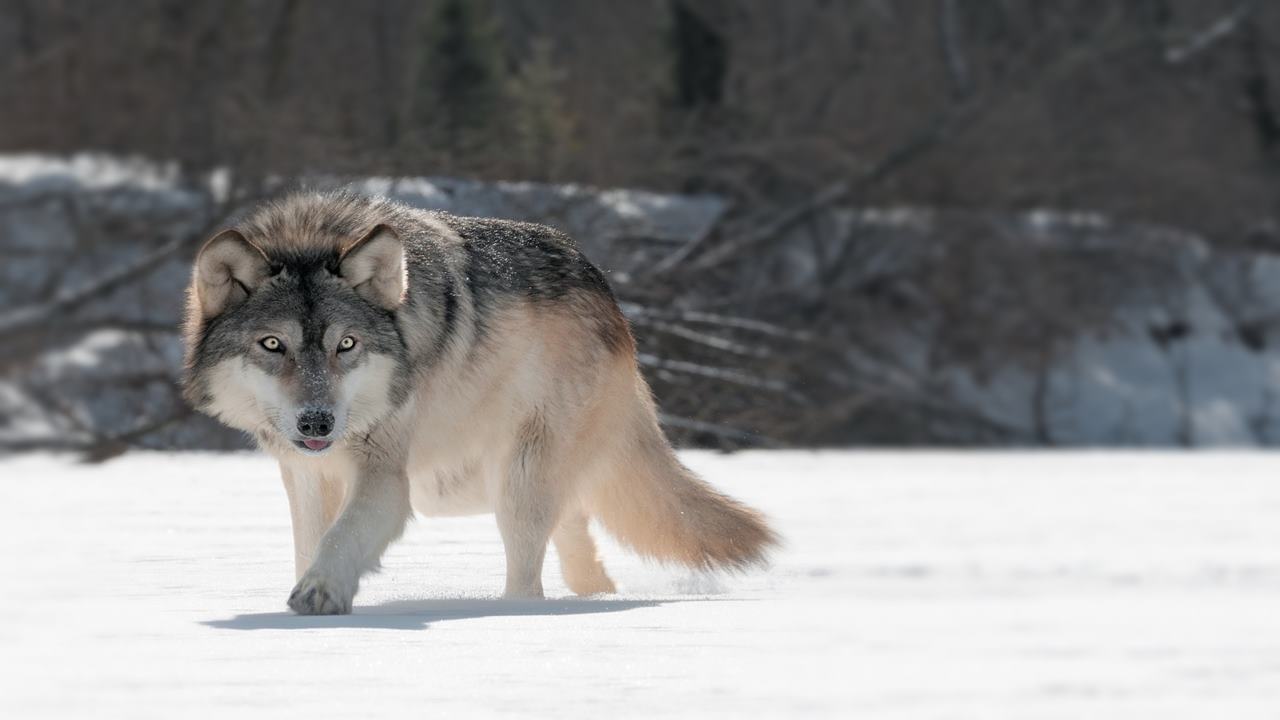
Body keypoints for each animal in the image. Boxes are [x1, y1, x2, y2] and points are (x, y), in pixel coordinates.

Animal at [180, 190, 773, 609]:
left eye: (345, 344)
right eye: (272, 345)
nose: (318, 423)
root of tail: (612, 302)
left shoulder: (385, 476)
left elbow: (341, 539)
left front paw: (320, 592)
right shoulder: (306, 475)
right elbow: (311, 541)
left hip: (513, 482)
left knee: (529, 577)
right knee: (578, 544)